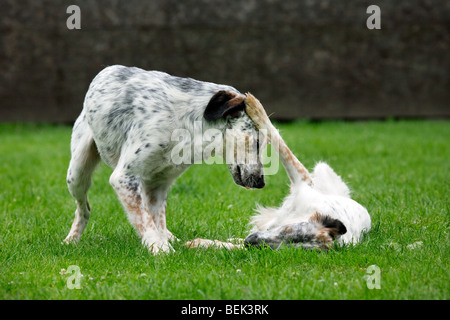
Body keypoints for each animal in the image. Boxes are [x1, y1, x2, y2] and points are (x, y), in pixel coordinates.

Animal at [65, 65, 266, 255]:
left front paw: (166, 243)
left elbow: (156, 220)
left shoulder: (159, 183)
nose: (261, 183)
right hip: (76, 174)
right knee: (84, 209)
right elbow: (146, 221)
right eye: (257, 142)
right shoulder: (124, 177)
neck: (185, 126)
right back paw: (71, 240)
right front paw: (159, 249)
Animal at [185, 93, 370, 250]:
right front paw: (255, 107)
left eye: (286, 249)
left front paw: (201, 243)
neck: (299, 214)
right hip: (322, 168)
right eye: (286, 230)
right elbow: (277, 138)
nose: (252, 241)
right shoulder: (303, 182)